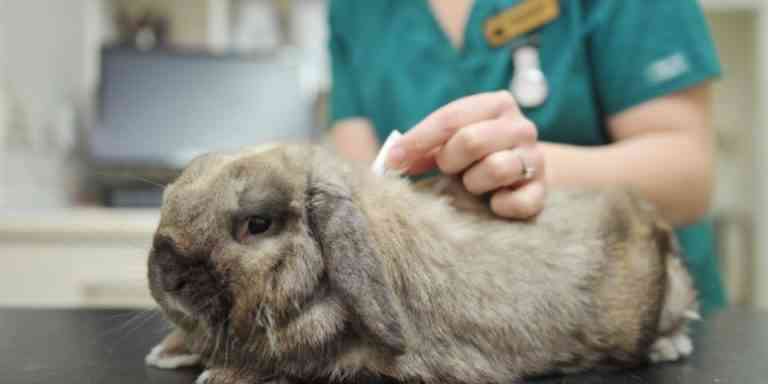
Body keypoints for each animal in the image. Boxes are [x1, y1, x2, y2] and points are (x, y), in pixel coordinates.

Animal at [146, 143, 704, 384]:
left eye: (257, 224)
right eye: (168, 197)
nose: (166, 275)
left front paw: (222, 376)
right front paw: (170, 354)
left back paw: (668, 346)